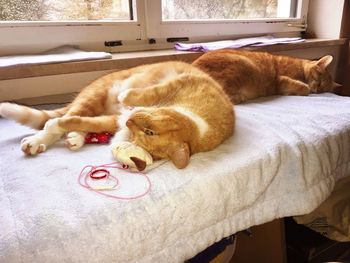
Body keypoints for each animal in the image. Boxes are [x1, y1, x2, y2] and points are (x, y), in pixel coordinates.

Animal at [0, 61, 235, 170]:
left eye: (144, 134)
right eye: (150, 131)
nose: (131, 120)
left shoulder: (115, 121)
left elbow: (88, 124)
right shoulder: (179, 82)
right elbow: (147, 93)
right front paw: (126, 95)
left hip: (103, 111)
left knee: (78, 120)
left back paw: (74, 138)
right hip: (94, 97)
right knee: (70, 113)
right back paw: (37, 140)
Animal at [193, 49, 340, 104]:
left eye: (323, 89)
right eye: (319, 79)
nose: (317, 90)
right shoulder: (280, 81)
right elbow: (304, 88)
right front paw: (304, 89)